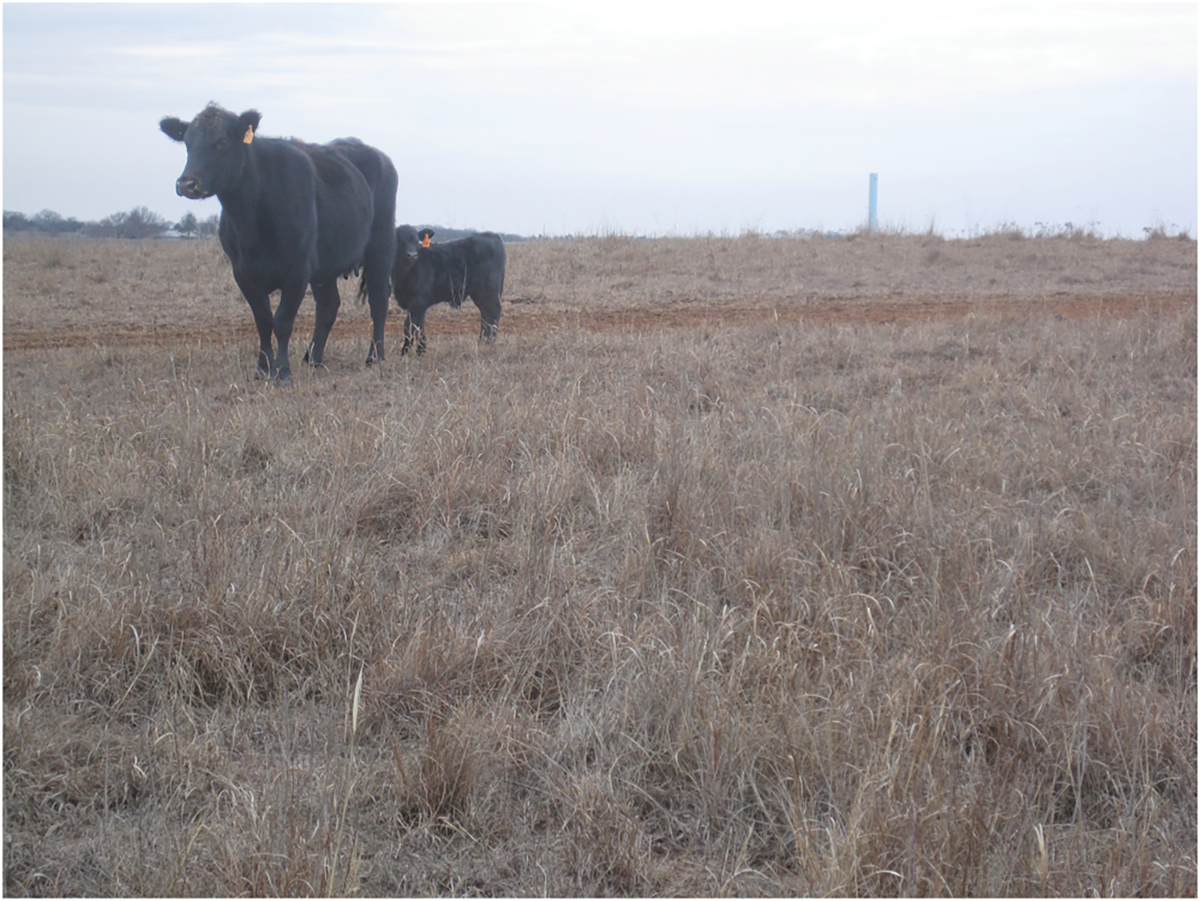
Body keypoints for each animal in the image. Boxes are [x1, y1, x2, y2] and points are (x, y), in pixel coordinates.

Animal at [159, 103, 397, 382]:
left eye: (222, 141)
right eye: (187, 142)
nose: (187, 183)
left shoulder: (297, 270)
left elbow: (282, 321)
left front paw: (282, 371)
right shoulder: (242, 273)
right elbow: (263, 321)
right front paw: (263, 368)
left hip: (381, 248)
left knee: (378, 301)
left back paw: (375, 357)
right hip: (325, 266)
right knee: (328, 306)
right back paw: (313, 358)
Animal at [391, 225, 506, 355]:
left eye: (417, 241)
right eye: (399, 240)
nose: (412, 255)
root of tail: (492, 235)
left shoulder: (418, 304)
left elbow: (412, 328)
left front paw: (411, 352)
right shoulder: (414, 306)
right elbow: (416, 327)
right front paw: (416, 351)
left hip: (487, 292)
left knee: (493, 313)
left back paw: (488, 342)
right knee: (486, 314)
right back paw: (483, 341)